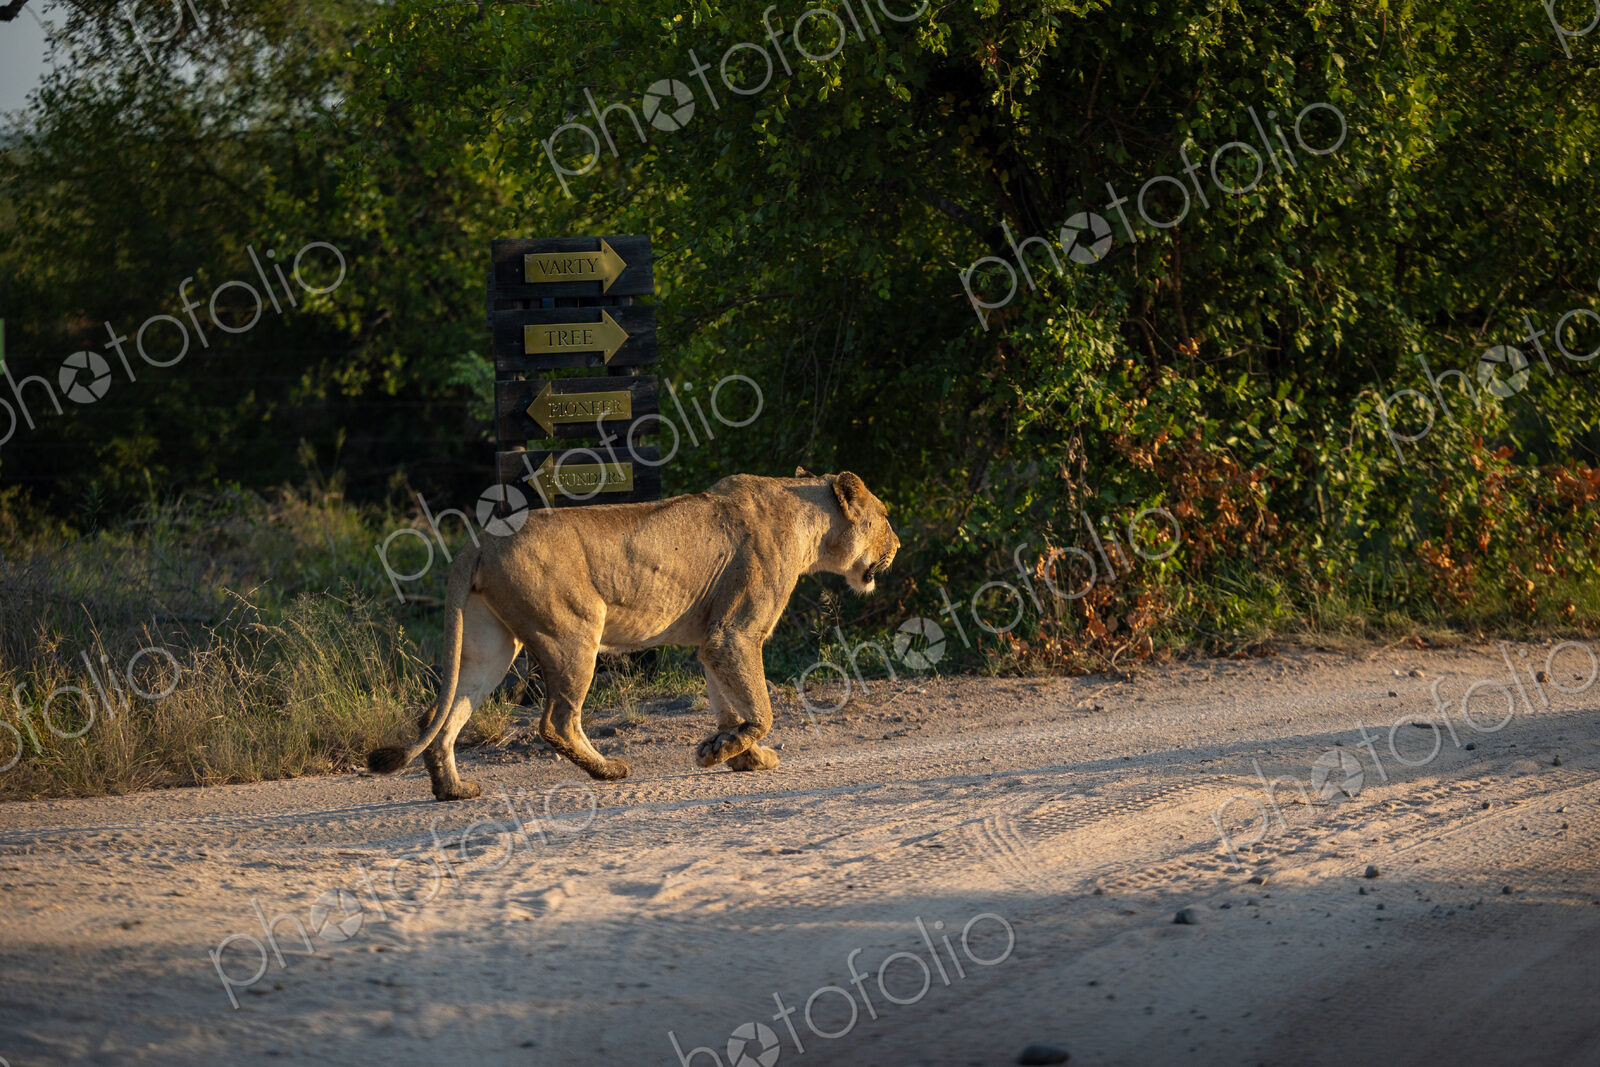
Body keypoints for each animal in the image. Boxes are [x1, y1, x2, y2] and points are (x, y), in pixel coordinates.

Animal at [367, 469, 899, 800]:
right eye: (887, 516)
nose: (899, 544)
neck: (810, 526)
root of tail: (480, 540)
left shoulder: (712, 642)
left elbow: (731, 704)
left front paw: (739, 754)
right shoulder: (734, 633)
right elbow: (761, 709)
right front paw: (728, 750)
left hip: (490, 646)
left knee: (441, 713)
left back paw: (452, 790)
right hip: (574, 631)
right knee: (556, 722)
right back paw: (608, 770)